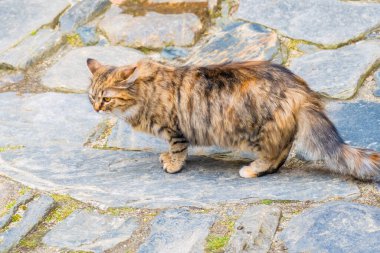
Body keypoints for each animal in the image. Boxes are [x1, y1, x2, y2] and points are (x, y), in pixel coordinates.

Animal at [87, 57, 380, 180]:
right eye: (91, 97)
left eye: (107, 99)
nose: (97, 109)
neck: (144, 92)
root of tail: (299, 87)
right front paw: (166, 158)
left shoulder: (175, 130)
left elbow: (178, 150)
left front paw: (173, 164)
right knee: (283, 151)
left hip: (256, 131)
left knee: (275, 153)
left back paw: (253, 169)